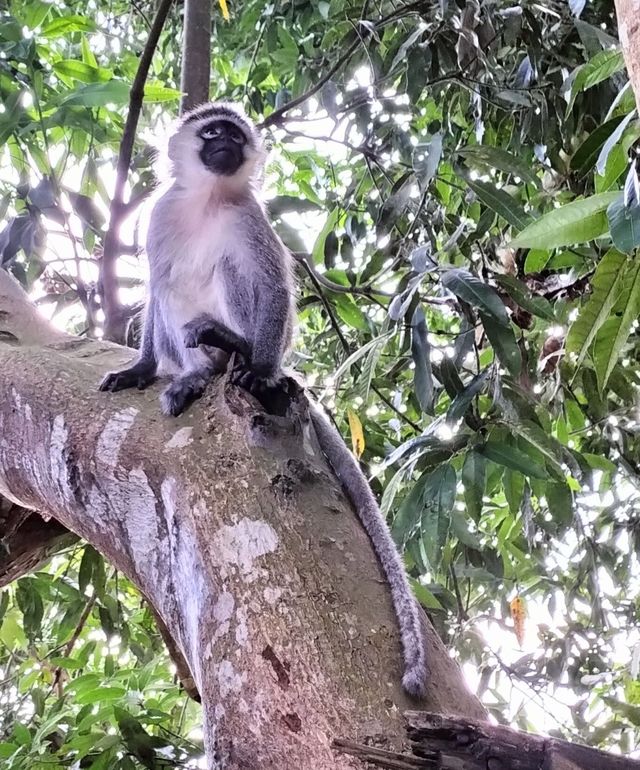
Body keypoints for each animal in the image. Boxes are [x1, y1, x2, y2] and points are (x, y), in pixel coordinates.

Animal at [100, 102, 428, 696]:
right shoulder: (161, 214)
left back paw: (236, 355)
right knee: (172, 297)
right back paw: (194, 375)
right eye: (213, 133)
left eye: (234, 135)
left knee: (236, 277)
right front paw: (139, 367)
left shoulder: (249, 217)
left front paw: (256, 371)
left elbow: (272, 287)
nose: (226, 146)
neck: (208, 200)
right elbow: (156, 285)